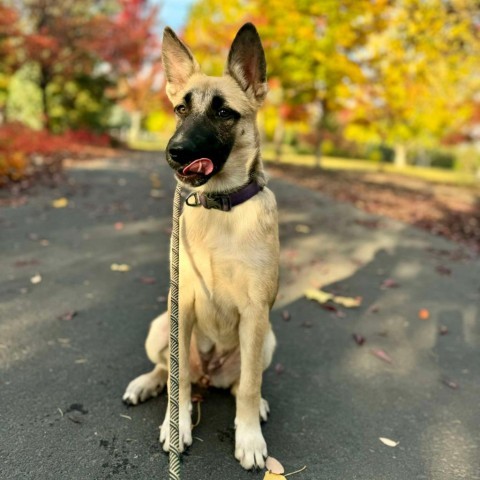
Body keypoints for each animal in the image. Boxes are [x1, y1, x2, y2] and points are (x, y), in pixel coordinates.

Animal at [122, 22, 280, 468]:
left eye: (224, 112)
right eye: (180, 109)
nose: (175, 154)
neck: (220, 207)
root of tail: (211, 371)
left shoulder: (255, 312)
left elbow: (249, 386)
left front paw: (249, 437)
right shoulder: (185, 306)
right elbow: (180, 381)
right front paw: (177, 427)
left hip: (266, 339)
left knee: (242, 382)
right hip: (162, 326)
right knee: (173, 372)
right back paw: (147, 383)